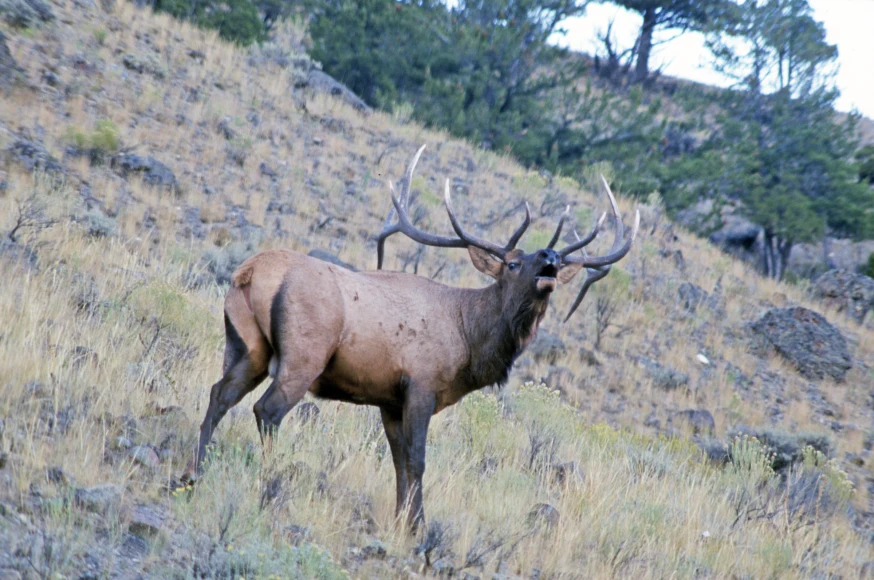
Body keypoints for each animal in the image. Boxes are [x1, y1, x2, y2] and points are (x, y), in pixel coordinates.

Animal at [184, 146, 636, 532]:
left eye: (546, 260)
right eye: (511, 263)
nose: (550, 258)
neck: (468, 339)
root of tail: (250, 271)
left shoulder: (388, 398)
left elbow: (399, 462)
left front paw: (402, 520)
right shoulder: (420, 385)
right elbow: (417, 461)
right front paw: (417, 528)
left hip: (246, 346)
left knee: (220, 393)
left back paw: (195, 472)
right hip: (303, 354)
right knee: (267, 410)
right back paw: (268, 480)